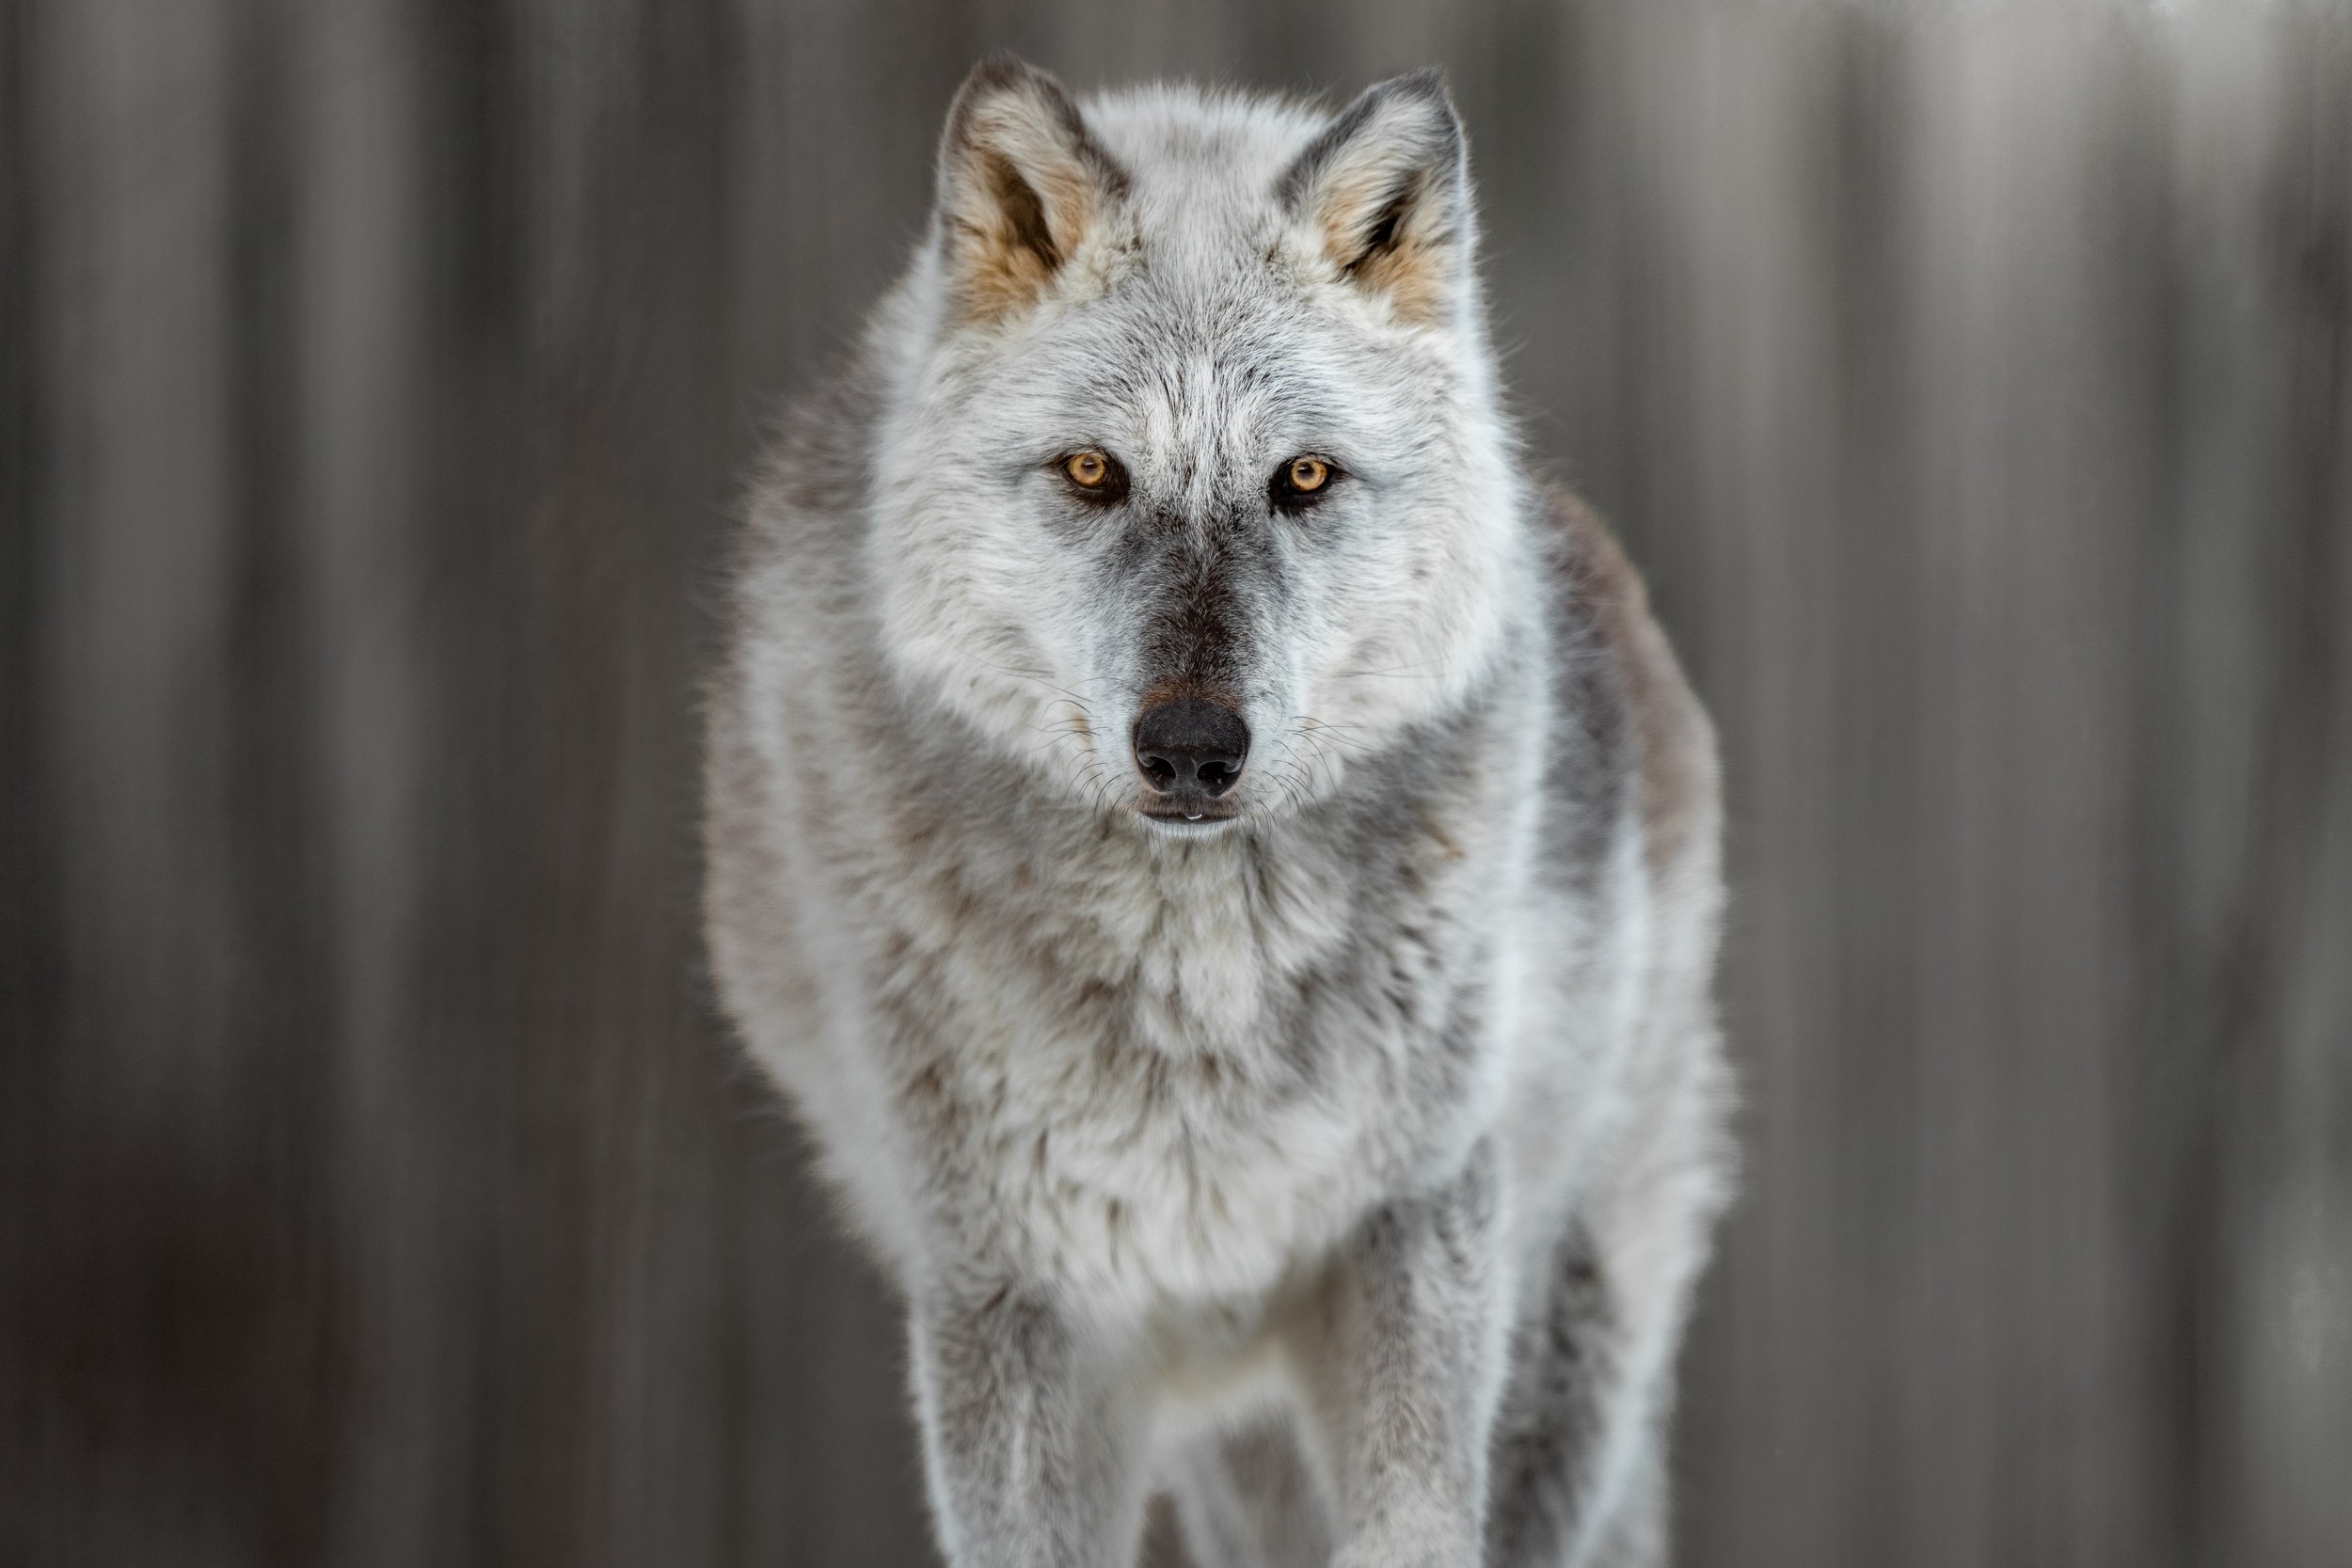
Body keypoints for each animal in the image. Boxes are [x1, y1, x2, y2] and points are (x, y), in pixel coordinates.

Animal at [703, 55, 1732, 1568]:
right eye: (1092, 472)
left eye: (1302, 477)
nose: (1192, 750)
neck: (1199, 983)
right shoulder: (1013, 1299)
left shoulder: (1415, 1228)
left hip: (1563, 1348)